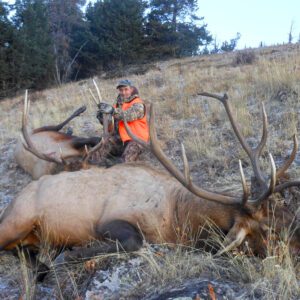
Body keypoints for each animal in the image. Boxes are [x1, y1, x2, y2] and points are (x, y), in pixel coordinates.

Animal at [0, 92, 298, 270]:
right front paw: (69, 254)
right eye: (269, 231)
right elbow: (134, 241)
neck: (178, 216)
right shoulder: (110, 220)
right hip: (17, 220)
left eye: (288, 212)